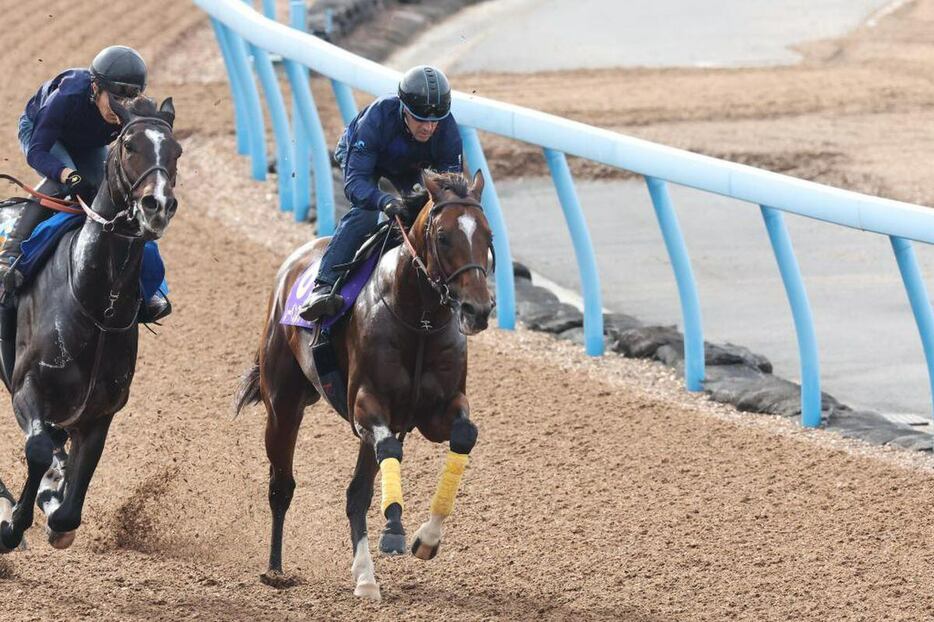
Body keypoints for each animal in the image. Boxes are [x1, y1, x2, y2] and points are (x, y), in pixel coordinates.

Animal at [0, 95, 181, 552]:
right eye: (130, 145)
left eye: (176, 151)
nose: (157, 205)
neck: (96, 306)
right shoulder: (26, 388)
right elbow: (38, 450)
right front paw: (11, 526)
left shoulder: (101, 411)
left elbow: (71, 502)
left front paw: (54, 505)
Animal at [238, 169, 494, 600]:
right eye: (444, 237)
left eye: (488, 236)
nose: (478, 309)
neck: (419, 321)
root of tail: (293, 262)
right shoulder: (367, 406)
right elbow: (388, 450)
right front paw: (394, 531)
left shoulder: (438, 410)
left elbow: (464, 435)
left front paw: (426, 538)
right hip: (283, 404)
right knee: (281, 485)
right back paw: (275, 569)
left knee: (355, 494)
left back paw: (364, 575)